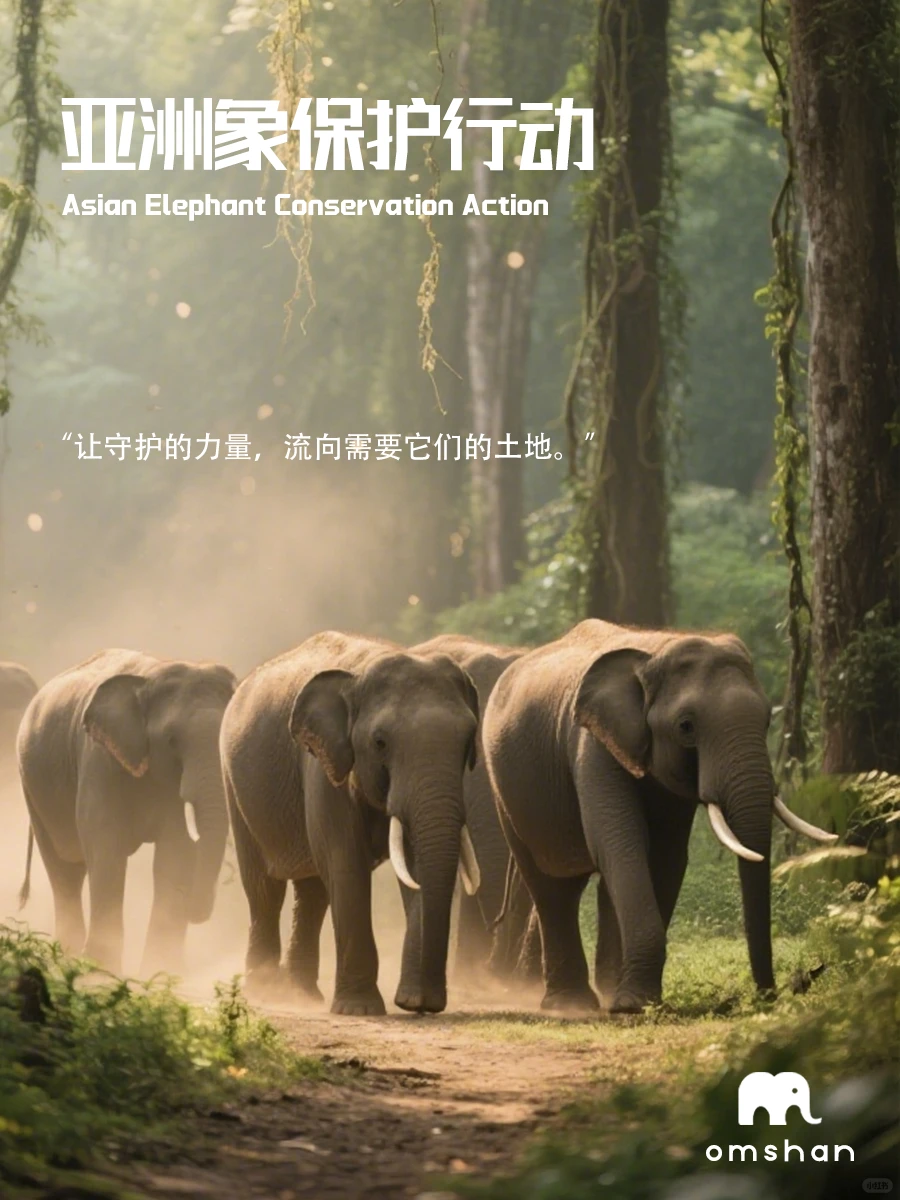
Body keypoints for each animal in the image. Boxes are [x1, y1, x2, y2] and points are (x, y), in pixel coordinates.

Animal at [17, 649, 237, 975]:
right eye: (171, 740)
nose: (195, 911)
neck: (150, 676)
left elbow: (175, 854)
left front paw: (162, 972)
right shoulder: (99, 760)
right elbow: (106, 849)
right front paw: (102, 972)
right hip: (32, 788)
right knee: (64, 869)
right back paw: (67, 961)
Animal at [220, 631, 482, 1016]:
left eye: (467, 742)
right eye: (380, 742)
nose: (428, 1007)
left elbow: (413, 868)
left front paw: (413, 1002)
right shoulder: (323, 767)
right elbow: (345, 864)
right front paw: (359, 1009)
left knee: (312, 893)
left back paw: (302, 995)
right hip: (234, 784)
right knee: (264, 888)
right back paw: (264, 991)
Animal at [482, 620, 836, 1014]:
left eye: (766, 721)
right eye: (686, 726)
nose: (770, 995)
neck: (656, 650)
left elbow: (667, 857)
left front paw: (635, 999)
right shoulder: (591, 745)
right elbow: (620, 845)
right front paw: (633, 1005)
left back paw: (605, 989)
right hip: (504, 788)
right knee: (550, 886)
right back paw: (572, 1003)